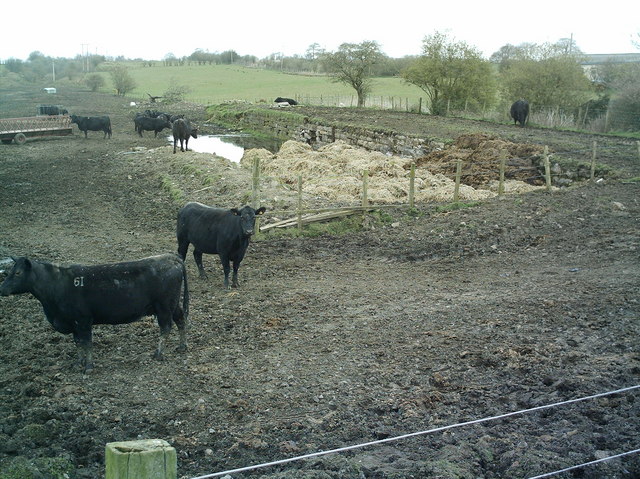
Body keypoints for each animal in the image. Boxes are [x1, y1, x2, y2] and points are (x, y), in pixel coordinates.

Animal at [0, 253, 189, 374]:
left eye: (18, 273)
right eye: (9, 272)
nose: (2, 289)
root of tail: (173, 258)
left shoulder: (83, 320)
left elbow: (87, 343)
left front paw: (89, 366)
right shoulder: (73, 323)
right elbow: (78, 343)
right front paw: (78, 362)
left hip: (164, 306)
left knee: (165, 327)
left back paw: (159, 353)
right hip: (173, 305)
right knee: (180, 320)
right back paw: (182, 346)